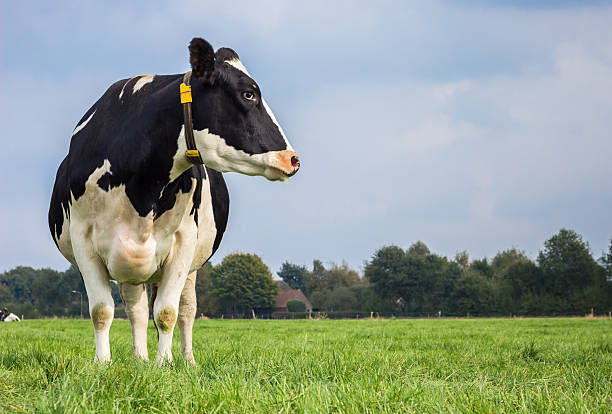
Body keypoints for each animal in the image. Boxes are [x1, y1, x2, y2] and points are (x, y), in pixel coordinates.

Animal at [47, 38, 298, 362]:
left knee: (186, 310)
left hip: (190, 267)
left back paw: (186, 360)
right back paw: (139, 358)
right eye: (248, 93)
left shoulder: (184, 241)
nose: (292, 158)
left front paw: (164, 363)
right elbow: (102, 311)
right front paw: (103, 363)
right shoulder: (83, 239)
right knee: (136, 309)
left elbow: (167, 312)